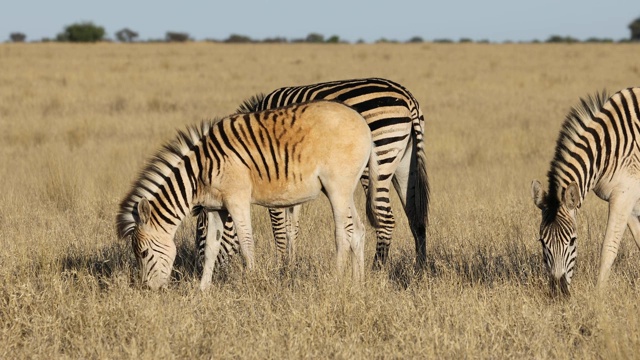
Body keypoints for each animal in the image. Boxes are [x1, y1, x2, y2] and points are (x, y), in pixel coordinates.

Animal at [116, 100, 380, 290]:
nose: (147, 289)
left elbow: (246, 242)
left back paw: (336, 281)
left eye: (143, 253)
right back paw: (357, 284)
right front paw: (202, 291)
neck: (198, 172)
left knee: (342, 232)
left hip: (337, 186)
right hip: (346, 188)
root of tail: (363, 122)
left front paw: (252, 282)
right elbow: (211, 248)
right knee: (357, 229)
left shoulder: (237, 200)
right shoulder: (216, 208)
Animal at [191, 77, 430, 282]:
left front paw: (280, 268)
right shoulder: (290, 177)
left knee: (385, 218)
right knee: (416, 217)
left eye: (201, 232)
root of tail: (407, 98)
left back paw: (376, 271)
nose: (196, 269)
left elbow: (279, 228)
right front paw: (290, 266)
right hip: (405, 164)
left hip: (379, 157)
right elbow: (292, 226)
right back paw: (420, 270)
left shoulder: (274, 170)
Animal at [532, 86, 640, 296]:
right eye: (542, 242)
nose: (558, 292)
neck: (607, 149)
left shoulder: (624, 195)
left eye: (573, 241)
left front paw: (599, 295)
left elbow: (608, 247)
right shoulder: (631, 200)